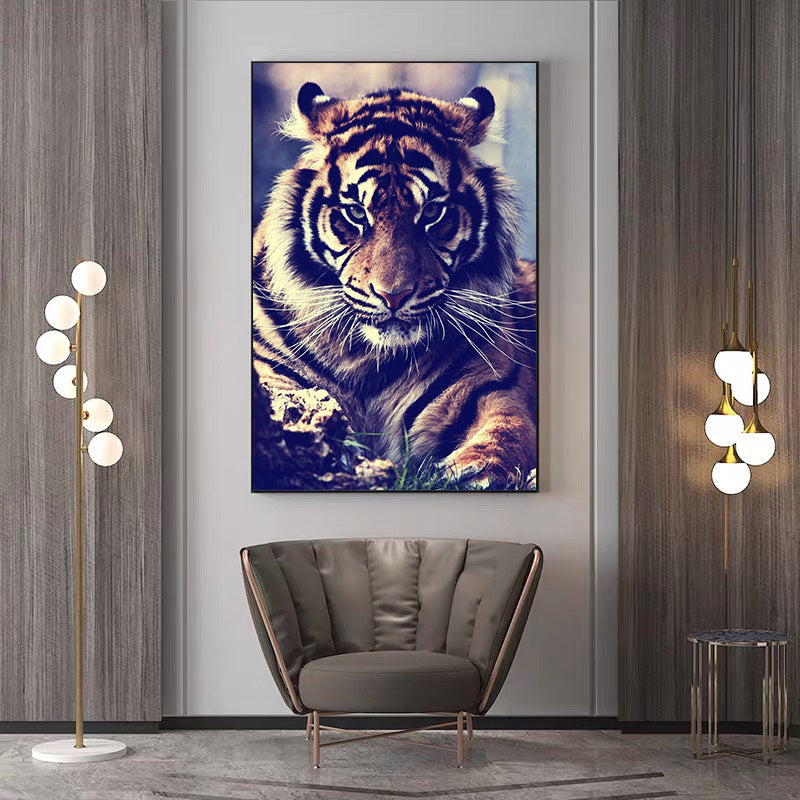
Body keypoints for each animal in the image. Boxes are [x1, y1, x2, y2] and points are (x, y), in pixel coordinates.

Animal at [253, 82, 537, 489]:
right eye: (356, 213)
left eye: (432, 213)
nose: (393, 296)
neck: (369, 359)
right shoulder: (272, 376)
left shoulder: (492, 389)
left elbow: (506, 433)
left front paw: (471, 473)